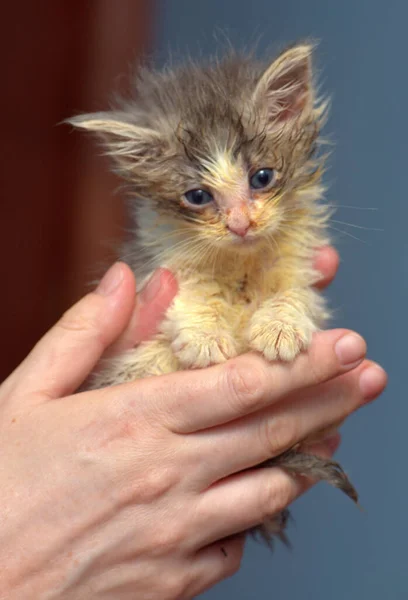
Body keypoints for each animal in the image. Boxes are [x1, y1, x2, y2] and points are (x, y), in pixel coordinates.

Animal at [69, 44, 356, 548]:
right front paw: (204, 337)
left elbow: (295, 293)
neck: (239, 264)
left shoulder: (301, 262)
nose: (240, 224)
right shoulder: (153, 263)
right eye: (198, 196)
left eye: (262, 177)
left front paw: (280, 327)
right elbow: (186, 291)